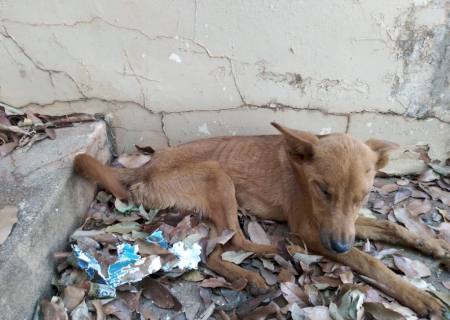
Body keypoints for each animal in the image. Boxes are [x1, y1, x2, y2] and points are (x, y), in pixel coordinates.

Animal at [74, 122, 446, 318]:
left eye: (364, 196)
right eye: (323, 190)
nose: (339, 246)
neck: (302, 171)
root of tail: (146, 166)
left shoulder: (342, 227)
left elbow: (390, 226)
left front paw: (434, 244)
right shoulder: (311, 230)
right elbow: (370, 262)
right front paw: (418, 296)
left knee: (214, 249)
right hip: (217, 173)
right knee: (229, 244)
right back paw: (268, 258)